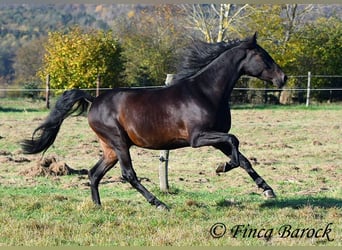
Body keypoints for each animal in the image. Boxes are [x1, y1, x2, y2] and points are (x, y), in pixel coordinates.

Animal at [21, 33, 286, 209]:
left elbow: (242, 157)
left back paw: (98, 207)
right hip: (119, 143)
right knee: (128, 174)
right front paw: (222, 167)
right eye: (263, 56)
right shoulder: (198, 137)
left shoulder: (216, 138)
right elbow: (235, 142)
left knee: (95, 173)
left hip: (110, 148)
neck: (206, 92)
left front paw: (267, 189)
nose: (282, 78)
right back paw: (158, 203)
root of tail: (93, 99)